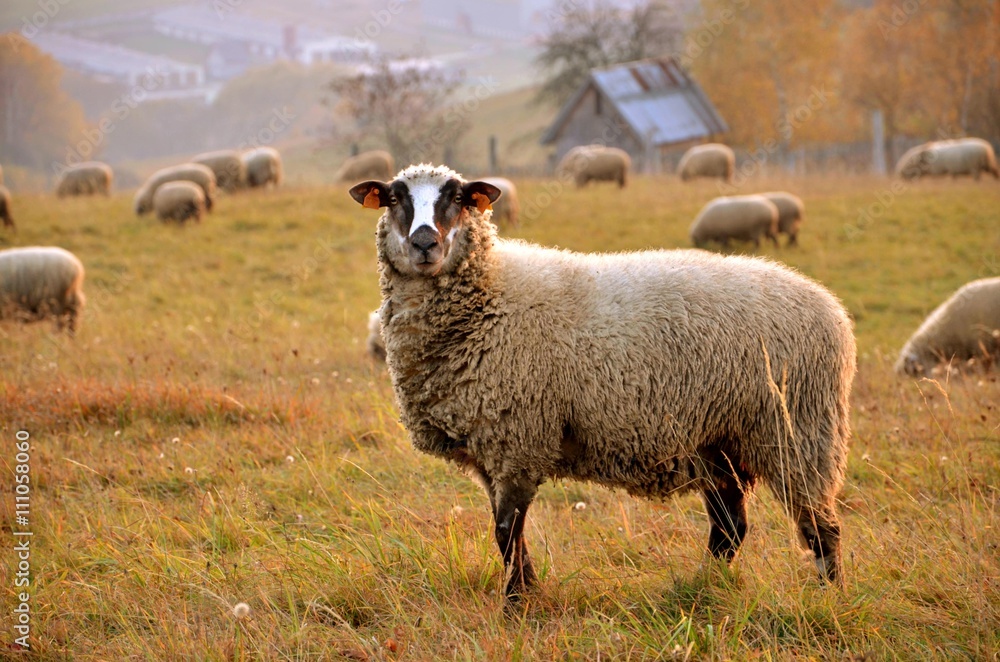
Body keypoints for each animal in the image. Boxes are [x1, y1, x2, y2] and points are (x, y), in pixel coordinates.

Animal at [348, 165, 856, 600]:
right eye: (394, 198)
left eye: (457, 198)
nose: (425, 243)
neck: (490, 297)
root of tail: (831, 309)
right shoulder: (491, 446)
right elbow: (508, 533)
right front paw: (528, 589)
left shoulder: (519, 437)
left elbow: (506, 530)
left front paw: (516, 603)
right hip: (719, 441)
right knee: (730, 527)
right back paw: (702, 586)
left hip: (796, 432)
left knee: (820, 527)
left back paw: (828, 597)